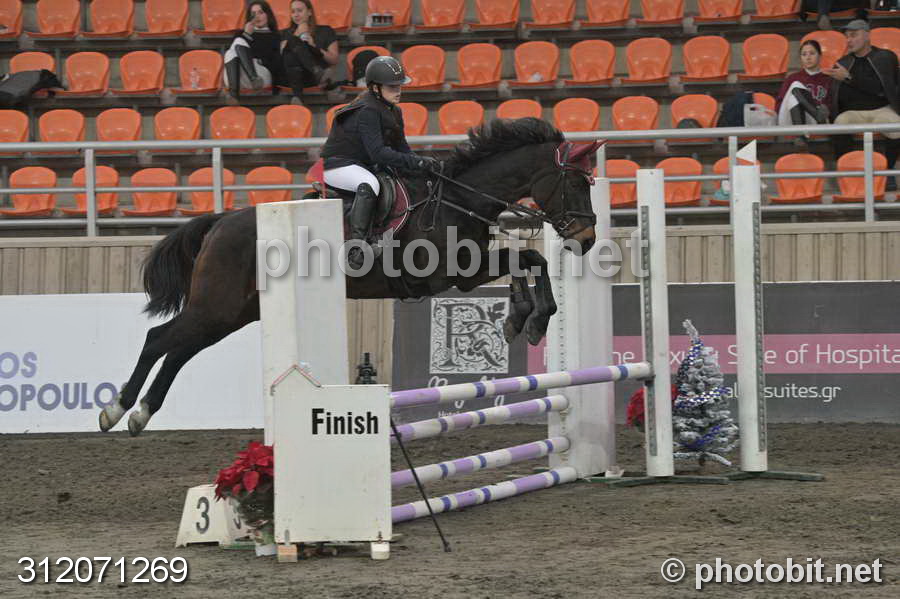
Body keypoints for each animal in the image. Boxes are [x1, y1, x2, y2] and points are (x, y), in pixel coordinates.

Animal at [99, 117, 601, 436]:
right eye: (576, 182)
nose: (587, 239)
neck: (460, 198)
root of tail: (221, 221)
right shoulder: (453, 273)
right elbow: (525, 261)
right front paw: (530, 318)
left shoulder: (466, 272)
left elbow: (527, 262)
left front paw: (524, 320)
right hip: (216, 305)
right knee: (160, 340)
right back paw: (116, 409)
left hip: (231, 314)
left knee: (180, 349)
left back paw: (140, 414)